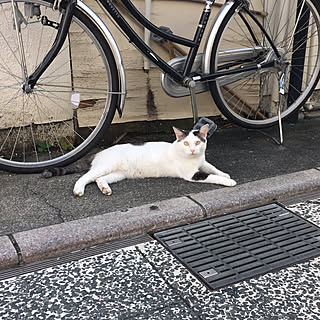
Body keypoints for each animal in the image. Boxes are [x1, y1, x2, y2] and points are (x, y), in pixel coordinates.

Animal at [43, 124, 235, 196]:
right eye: (186, 143)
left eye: (198, 142)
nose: (193, 149)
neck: (194, 159)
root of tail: (100, 152)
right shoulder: (192, 174)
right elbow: (211, 176)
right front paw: (229, 181)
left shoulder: (203, 162)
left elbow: (213, 168)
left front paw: (225, 174)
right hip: (106, 166)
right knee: (84, 177)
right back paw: (78, 190)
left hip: (118, 174)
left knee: (98, 179)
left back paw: (105, 189)